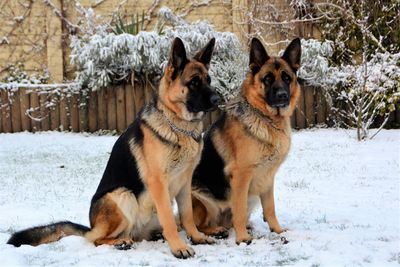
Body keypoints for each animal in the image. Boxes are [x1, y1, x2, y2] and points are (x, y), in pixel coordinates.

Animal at [7, 37, 222, 260]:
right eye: (194, 82)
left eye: (209, 80)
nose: (218, 100)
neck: (179, 126)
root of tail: (92, 225)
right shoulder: (158, 183)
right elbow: (169, 220)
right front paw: (179, 247)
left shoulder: (184, 182)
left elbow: (187, 215)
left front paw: (196, 237)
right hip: (122, 195)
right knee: (95, 239)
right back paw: (120, 241)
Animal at [191, 37, 300, 245]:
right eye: (267, 79)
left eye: (287, 78)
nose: (282, 96)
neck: (267, 119)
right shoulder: (242, 175)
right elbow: (239, 210)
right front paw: (242, 238)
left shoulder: (267, 177)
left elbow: (270, 208)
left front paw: (277, 230)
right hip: (204, 199)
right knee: (200, 225)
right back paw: (217, 230)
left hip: (253, 196)